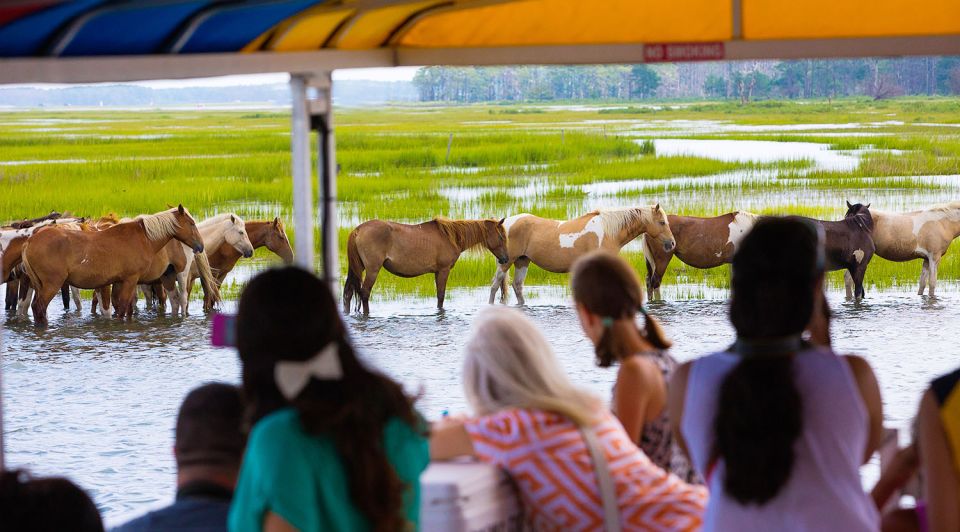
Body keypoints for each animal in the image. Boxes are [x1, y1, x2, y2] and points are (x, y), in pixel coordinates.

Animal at [22, 207, 204, 324]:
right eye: (192, 223)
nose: (200, 246)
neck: (143, 238)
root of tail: (30, 241)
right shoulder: (130, 279)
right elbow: (122, 308)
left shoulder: (118, 281)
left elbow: (119, 307)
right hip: (52, 284)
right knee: (39, 307)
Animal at [344, 217, 510, 316]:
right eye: (501, 236)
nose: (505, 259)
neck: (451, 237)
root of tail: (357, 230)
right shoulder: (443, 270)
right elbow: (441, 296)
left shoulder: (437, 272)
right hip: (372, 270)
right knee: (364, 293)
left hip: (357, 268)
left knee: (348, 293)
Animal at [488, 206, 676, 306]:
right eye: (662, 222)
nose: (672, 243)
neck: (607, 231)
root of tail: (504, 225)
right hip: (506, 262)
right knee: (495, 285)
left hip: (522, 261)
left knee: (517, 286)